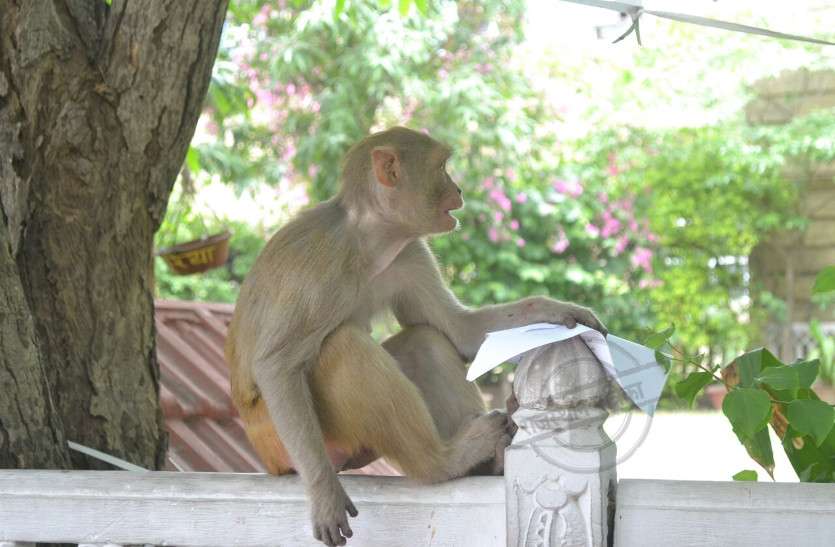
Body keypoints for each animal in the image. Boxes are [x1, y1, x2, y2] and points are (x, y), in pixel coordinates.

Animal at [225, 127, 606, 546]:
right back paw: (440, 463)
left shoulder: (408, 252)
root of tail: (266, 456)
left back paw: (488, 457)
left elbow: (459, 330)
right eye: (441, 169)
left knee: (424, 341)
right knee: (344, 347)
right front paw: (324, 492)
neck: (368, 239)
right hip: (286, 440)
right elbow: (276, 365)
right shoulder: (322, 264)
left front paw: (556, 309)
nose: (458, 189)